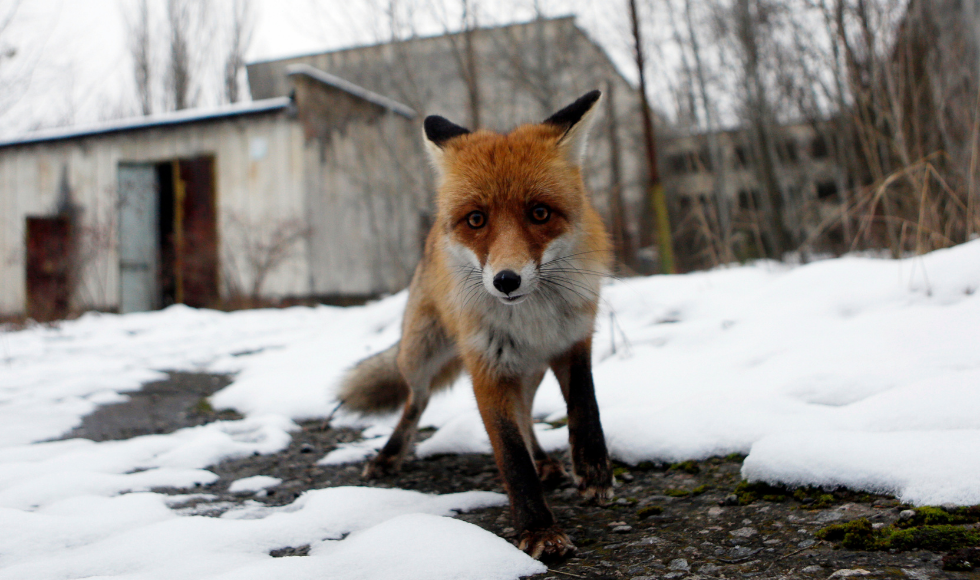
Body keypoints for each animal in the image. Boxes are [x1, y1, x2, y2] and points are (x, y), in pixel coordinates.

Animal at [336, 92, 612, 560]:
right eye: (476, 220)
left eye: (540, 213)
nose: (506, 280)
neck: (533, 320)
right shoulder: (486, 366)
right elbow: (511, 456)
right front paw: (538, 529)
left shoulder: (574, 339)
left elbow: (584, 404)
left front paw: (593, 470)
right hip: (419, 355)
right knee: (415, 402)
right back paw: (389, 455)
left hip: (529, 371)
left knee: (527, 415)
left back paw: (547, 462)